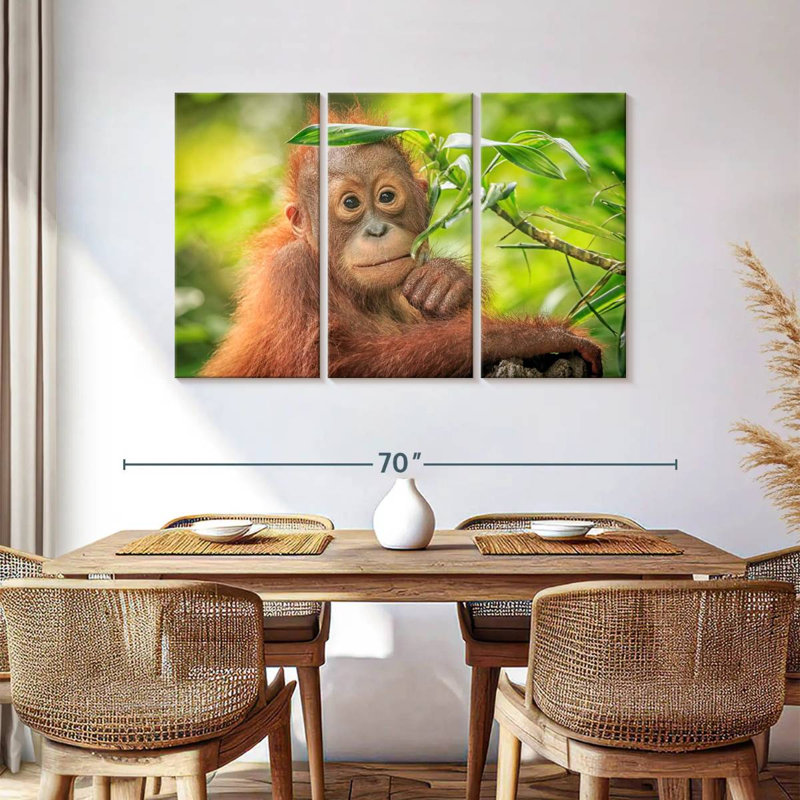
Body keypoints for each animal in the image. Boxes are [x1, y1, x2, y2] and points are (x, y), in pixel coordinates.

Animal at [201, 129, 602, 379]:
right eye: (350, 203)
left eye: (386, 197)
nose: (377, 230)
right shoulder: (291, 272)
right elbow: (337, 363)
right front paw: (541, 337)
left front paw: (445, 282)